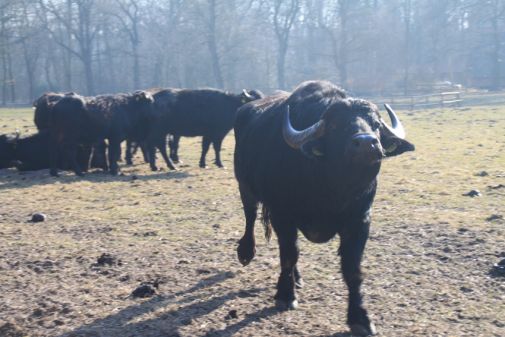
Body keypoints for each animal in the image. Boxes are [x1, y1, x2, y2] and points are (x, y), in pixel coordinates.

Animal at [232, 80, 414, 334]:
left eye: (376, 124)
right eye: (336, 125)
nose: (367, 143)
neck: (330, 189)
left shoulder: (359, 221)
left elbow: (353, 270)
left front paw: (360, 317)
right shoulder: (282, 215)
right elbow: (289, 255)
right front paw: (285, 295)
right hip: (244, 186)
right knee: (250, 217)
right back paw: (246, 252)